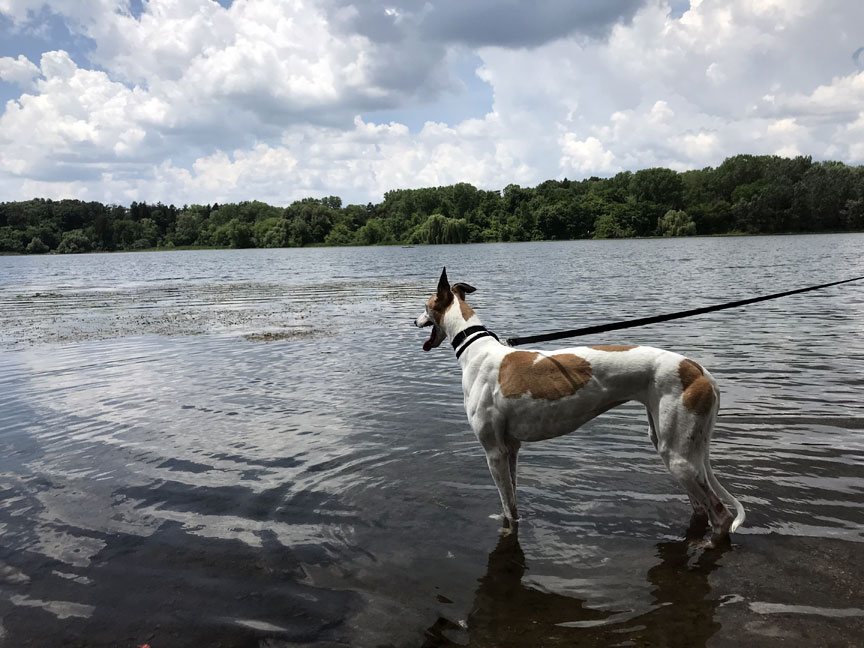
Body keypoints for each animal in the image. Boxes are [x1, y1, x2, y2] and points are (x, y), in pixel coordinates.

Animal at [412, 266, 744, 544]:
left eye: (425, 306)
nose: (413, 321)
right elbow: (513, 498)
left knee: (721, 515)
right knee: (701, 506)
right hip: (672, 445)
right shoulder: (511, 449)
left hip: (678, 456)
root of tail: (700, 370)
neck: (476, 348)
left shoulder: (494, 451)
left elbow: (509, 510)